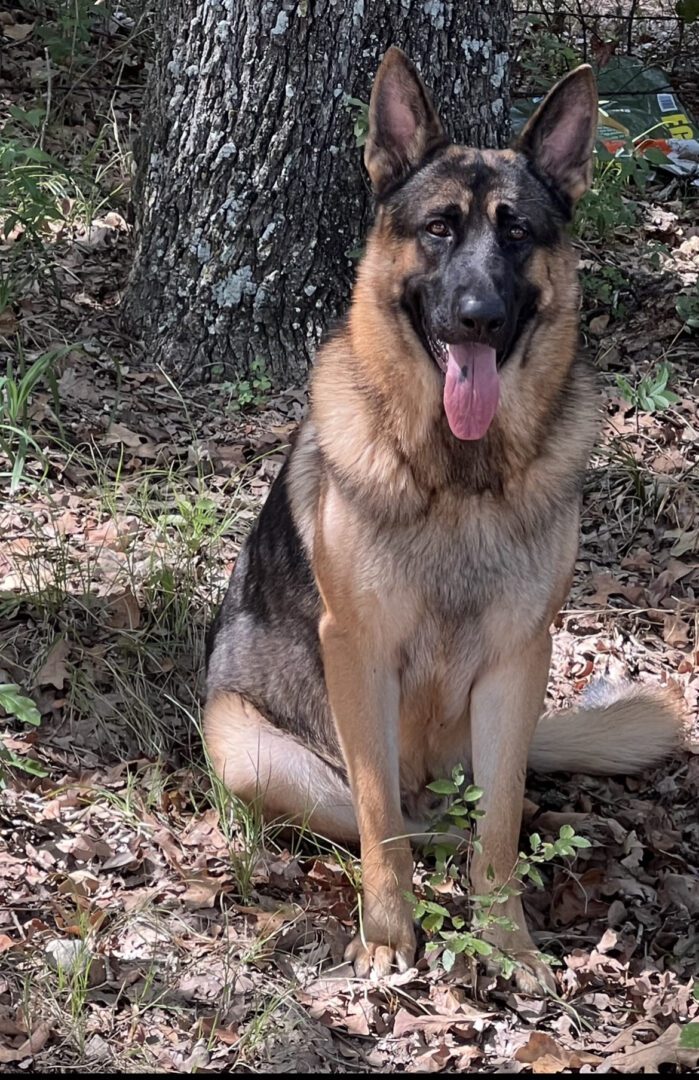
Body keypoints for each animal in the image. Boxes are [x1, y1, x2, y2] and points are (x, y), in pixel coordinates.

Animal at [204, 52, 682, 993]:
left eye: (517, 233)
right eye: (437, 229)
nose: (477, 319)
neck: (459, 477)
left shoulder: (517, 660)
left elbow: (495, 823)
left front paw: (506, 942)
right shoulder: (358, 652)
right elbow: (380, 815)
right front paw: (389, 931)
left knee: (487, 808)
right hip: (250, 751)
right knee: (383, 815)